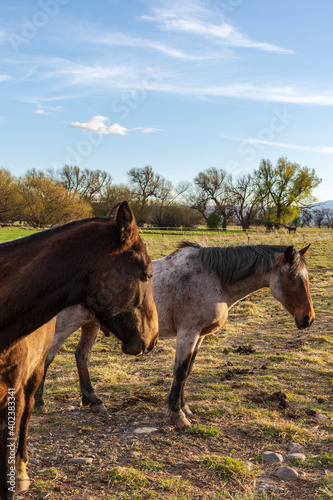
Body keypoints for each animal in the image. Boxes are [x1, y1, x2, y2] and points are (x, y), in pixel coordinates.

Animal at [35, 244, 312, 428]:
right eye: (291, 277)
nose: (307, 318)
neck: (213, 278)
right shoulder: (188, 332)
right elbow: (179, 371)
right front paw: (176, 415)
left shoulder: (199, 335)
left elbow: (187, 370)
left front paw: (184, 408)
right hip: (65, 325)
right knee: (46, 358)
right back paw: (39, 402)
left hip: (90, 324)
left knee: (82, 357)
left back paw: (93, 401)